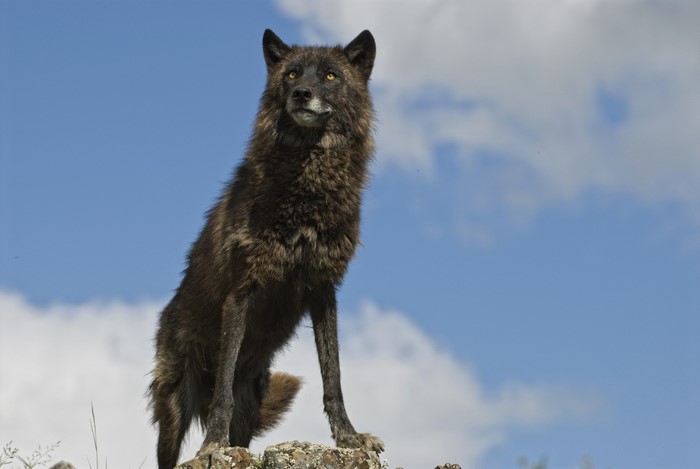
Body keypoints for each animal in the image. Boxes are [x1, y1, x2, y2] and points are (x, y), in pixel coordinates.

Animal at [148, 29, 383, 468]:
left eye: (329, 75)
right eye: (291, 74)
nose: (302, 93)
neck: (308, 184)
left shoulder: (324, 291)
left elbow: (334, 378)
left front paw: (348, 437)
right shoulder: (241, 292)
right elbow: (222, 389)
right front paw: (212, 446)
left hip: (251, 404)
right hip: (172, 405)